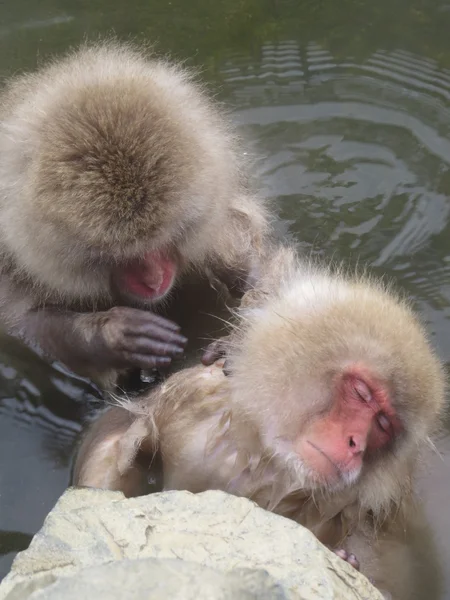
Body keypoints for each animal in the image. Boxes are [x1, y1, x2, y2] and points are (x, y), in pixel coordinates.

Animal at [0, 41, 270, 390]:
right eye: (119, 255)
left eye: (166, 238)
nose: (154, 281)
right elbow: (23, 325)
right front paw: (113, 334)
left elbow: (255, 263)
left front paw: (244, 336)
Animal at [74, 245, 446, 600]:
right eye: (361, 393)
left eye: (383, 424)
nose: (356, 443)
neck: (263, 462)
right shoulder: (188, 396)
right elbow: (119, 429)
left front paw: (347, 562)